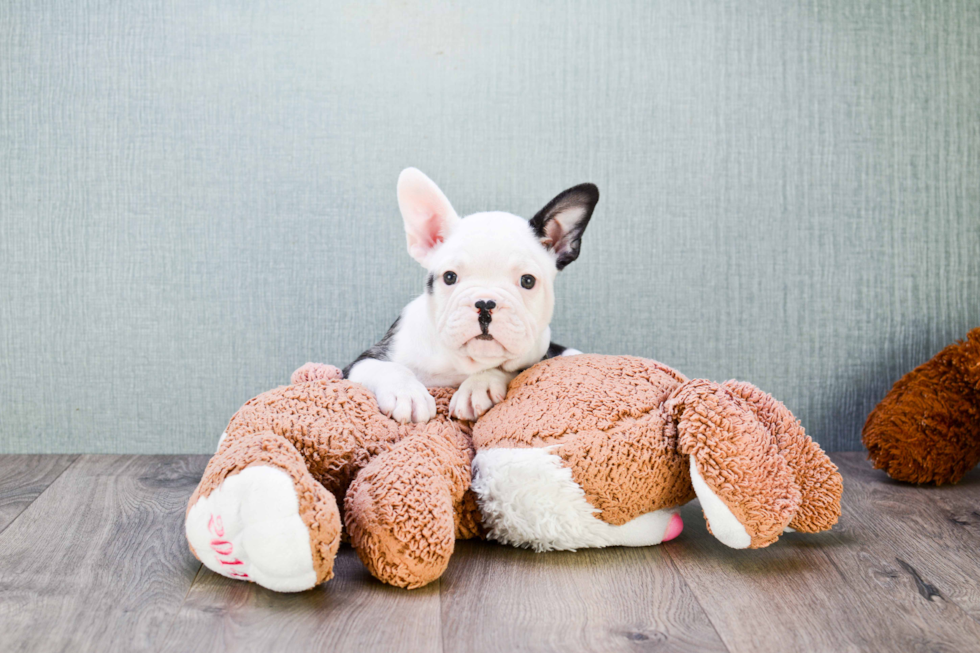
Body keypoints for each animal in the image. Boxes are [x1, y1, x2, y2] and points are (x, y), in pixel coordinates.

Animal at [348, 168, 600, 422]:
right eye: (450, 277)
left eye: (527, 281)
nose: (486, 304)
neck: (460, 363)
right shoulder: (360, 363)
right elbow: (387, 368)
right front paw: (406, 392)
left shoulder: (538, 357)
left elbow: (507, 368)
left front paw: (479, 386)